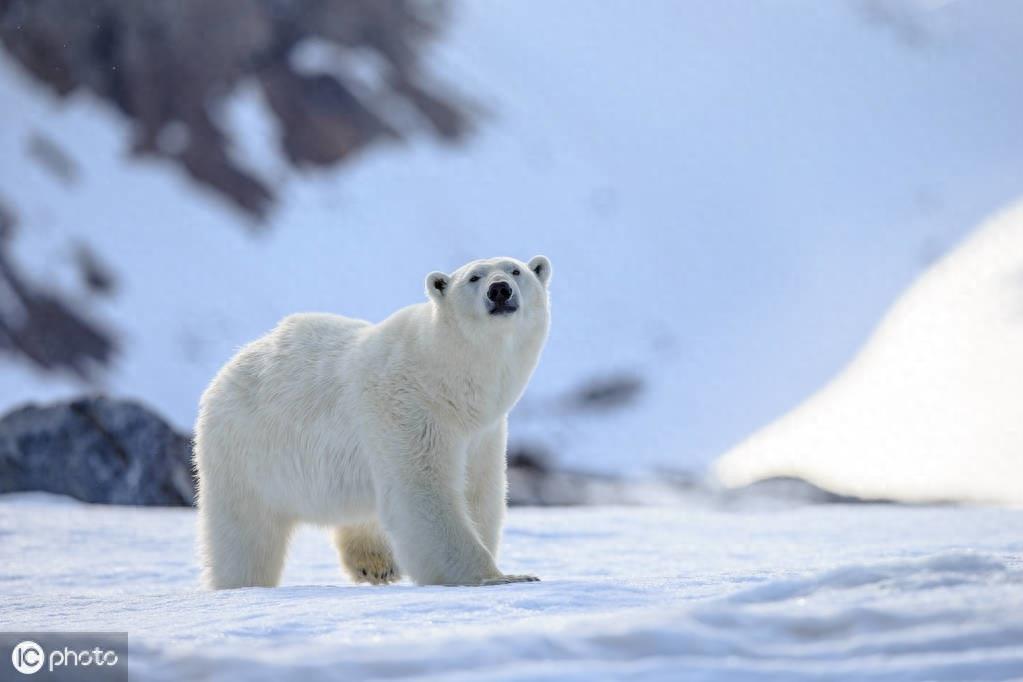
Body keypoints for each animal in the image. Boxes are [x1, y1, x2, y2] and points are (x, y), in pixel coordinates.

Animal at [192, 254, 552, 588]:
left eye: (516, 270)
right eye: (474, 277)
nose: (500, 289)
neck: (447, 379)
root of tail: (227, 371)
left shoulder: (483, 431)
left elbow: (478, 491)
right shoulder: (408, 407)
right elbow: (423, 491)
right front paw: (502, 577)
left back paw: (375, 563)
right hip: (246, 451)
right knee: (246, 534)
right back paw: (241, 582)